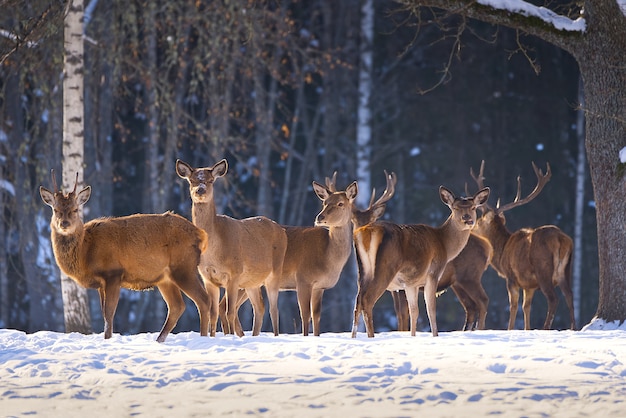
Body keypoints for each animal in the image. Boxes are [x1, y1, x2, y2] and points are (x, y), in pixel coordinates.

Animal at [39, 171, 210, 342]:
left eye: (75, 209)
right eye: (55, 209)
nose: (64, 223)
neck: (85, 253)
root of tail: (201, 234)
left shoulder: (113, 273)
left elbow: (109, 314)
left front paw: (107, 339)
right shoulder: (101, 283)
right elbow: (104, 313)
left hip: (183, 267)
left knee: (203, 300)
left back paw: (203, 337)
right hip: (164, 278)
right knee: (177, 306)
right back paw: (159, 340)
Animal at [176, 158, 288, 338]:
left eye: (210, 180)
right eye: (191, 180)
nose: (200, 190)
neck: (214, 251)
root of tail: (282, 230)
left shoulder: (234, 274)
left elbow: (230, 312)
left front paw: (230, 337)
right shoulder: (208, 278)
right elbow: (213, 312)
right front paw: (212, 337)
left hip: (275, 272)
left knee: (273, 309)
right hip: (251, 281)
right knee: (259, 307)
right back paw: (254, 336)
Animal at [352, 171, 492, 332]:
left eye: (474, 207)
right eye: (455, 208)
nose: (467, 219)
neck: (444, 243)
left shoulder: (410, 283)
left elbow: (413, 312)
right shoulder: (432, 274)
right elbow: (430, 310)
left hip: (363, 271)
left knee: (358, 301)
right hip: (387, 268)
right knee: (367, 300)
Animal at [468, 162, 576, 332]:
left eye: (478, 221)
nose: (471, 229)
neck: (501, 252)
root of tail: (561, 239)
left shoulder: (511, 277)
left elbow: (513, 306)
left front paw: (510, 329)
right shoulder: (528, 285)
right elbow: (526, 307)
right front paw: (527, 329)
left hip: (543, 269)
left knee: (553, 298)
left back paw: (545, 328)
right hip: (565, 269)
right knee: (570, 295)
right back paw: (574, 328)